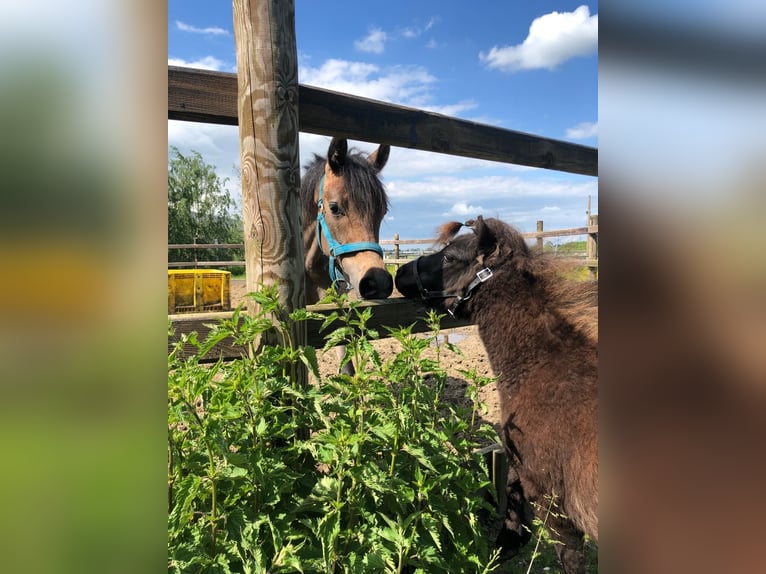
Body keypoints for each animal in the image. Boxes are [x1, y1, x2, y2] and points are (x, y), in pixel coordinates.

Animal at [396, 217, 600, 574]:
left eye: (449, 257)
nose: (400, 273)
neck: (546, 368)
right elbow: (509, 481)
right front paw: (510, 538)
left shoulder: (552, 500)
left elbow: (570, 556)